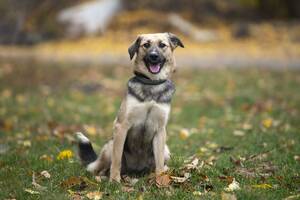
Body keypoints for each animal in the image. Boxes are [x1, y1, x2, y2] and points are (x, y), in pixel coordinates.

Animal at [75, 32, 183, 182]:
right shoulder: (121, 126)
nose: (154, 56)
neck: (151, 84)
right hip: (110, 146)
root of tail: (136, 170)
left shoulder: (160, 130)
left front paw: (161, 181)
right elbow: (117, 160)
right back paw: (103, 177)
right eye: (146, 45)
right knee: (100, 168)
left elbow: (160, 163)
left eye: (162, 45)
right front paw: (114, 181)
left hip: (166, 150)